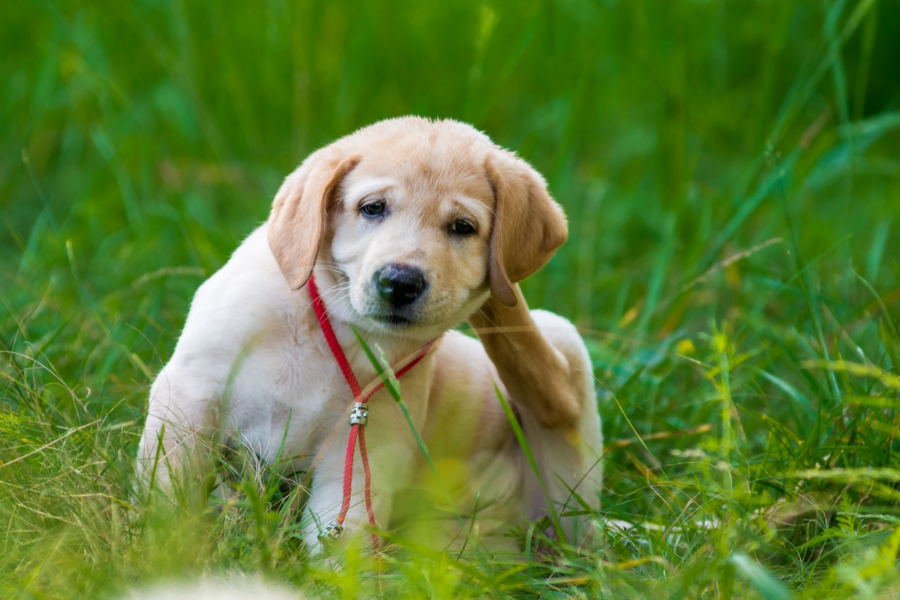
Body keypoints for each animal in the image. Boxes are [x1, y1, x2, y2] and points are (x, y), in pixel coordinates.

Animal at [139, 116, 604, 552]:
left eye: (462, 227)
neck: (334, 328)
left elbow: (344, 544)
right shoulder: (191, 395)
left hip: (561, 405)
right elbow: (171, 493)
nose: (400, 282)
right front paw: (166, 551)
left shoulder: (364, 450)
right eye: (373, 208)